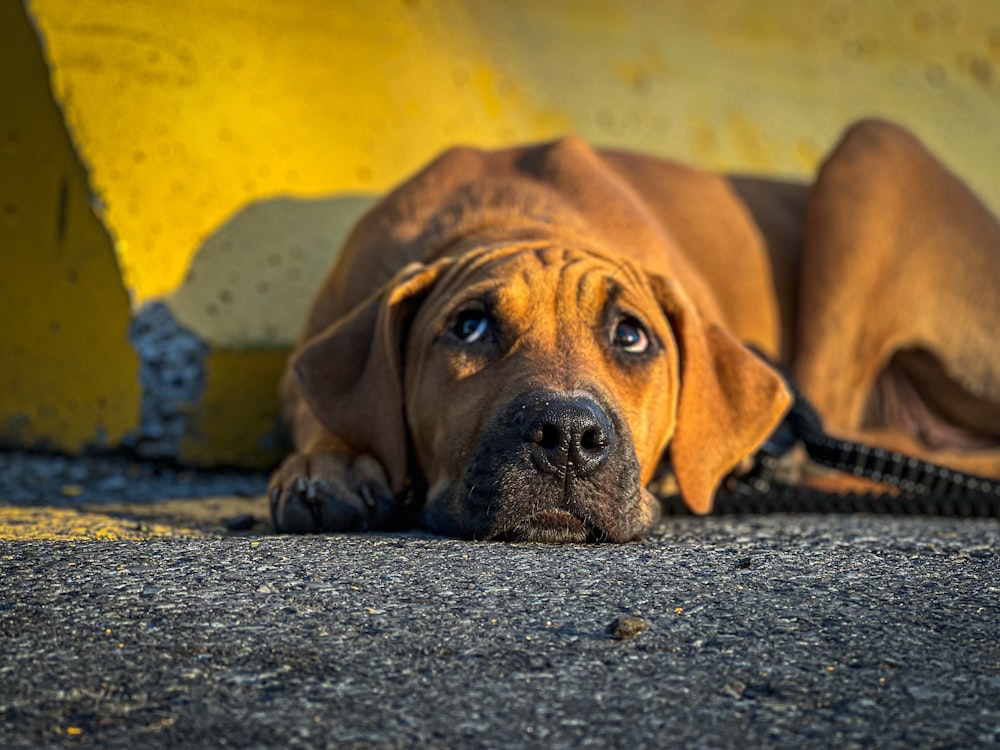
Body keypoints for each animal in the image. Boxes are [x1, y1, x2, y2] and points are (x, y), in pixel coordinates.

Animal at [266, 120, 1000, 540]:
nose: (567, 438)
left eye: (631, 336)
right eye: (469, 327)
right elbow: (324, 407)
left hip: (869, 159)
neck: (514, 217)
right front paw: (327, 465)